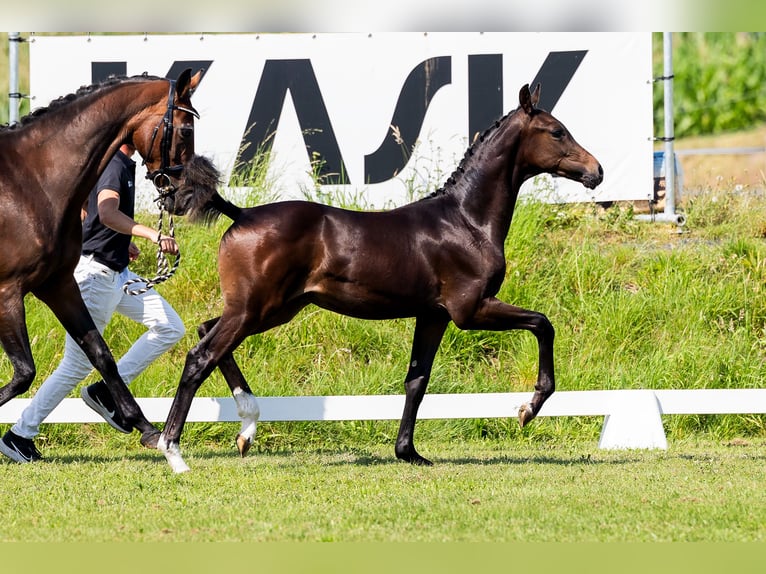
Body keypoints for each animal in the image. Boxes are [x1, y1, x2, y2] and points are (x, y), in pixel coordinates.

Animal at [0, 68, 207, 450]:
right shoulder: (7, 293)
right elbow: (24, 372)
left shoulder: (58, 284)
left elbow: (100, 354)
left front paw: (145, 427)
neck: (31, 182)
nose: (184, 197)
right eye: (186, 129)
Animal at [159, 84, 604, 472]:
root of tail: (243, 214)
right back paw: (173, 450)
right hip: (255, 309)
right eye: (557, 131)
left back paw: (247, 429)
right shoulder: (470, 310)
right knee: (200, 356)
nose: (596, 171)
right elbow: (543, 324)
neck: (466, 221)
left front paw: (408, 453)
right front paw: (528, 408)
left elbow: (417, 381)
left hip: (270, 309)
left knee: (206, 332)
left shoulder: (434, 315)